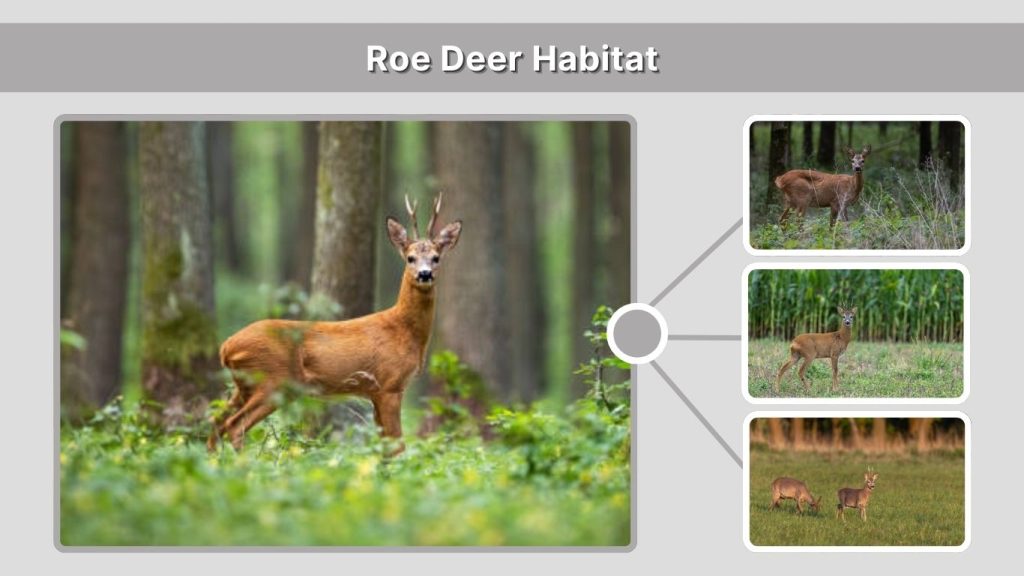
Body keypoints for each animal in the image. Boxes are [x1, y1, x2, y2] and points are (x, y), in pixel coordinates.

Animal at [207, 194, 462, 456]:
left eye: (436, 258)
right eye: (410, 258)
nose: (425, 274)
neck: (404, 331)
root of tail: (226, 347)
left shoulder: (374, 391)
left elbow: (385, 447)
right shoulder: (389, 384)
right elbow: (398, 445)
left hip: (244, 385)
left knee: (216, 421)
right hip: (273, 380)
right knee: (234, 425)